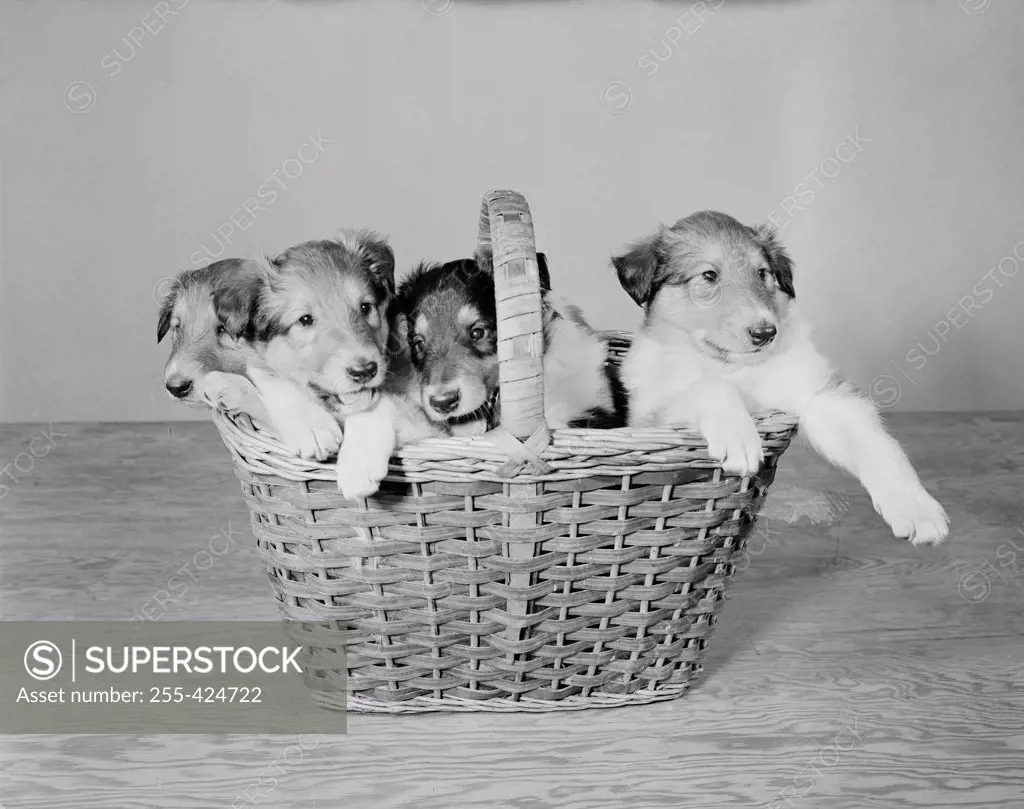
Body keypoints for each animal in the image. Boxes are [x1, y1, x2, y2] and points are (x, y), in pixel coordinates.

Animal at [234, 231, 446, 499]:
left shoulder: (434, 424)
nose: (365, 371)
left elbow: (380, 404)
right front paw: (312, 428)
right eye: (305, 320)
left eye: (365, 307)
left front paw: (358, 465)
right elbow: (272, 378)